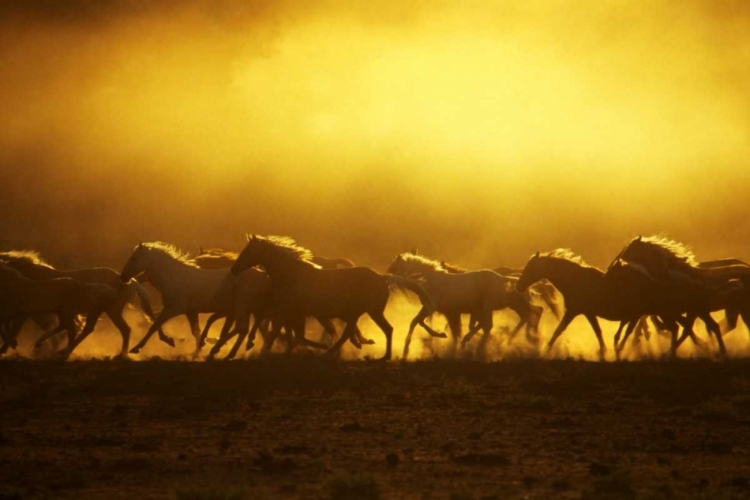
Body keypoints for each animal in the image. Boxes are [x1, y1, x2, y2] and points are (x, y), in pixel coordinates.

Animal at [0, 249, 162, 358]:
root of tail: (129, 281)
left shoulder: (29, 312)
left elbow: (15, 329)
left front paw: (8, 348)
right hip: (103, 310)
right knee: (93, 329)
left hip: (108, 309)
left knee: (119, 329)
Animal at [231, 234, 434, 360]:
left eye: (248, 251)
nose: (234, 269)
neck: (292, 275)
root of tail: (382, 277)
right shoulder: (292, 313)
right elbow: (288, 334)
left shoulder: (288, 312)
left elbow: (280, 333)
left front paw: (260, 351)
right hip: (357, 313)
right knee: (356, 332)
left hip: (370, 311)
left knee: (381, 330)